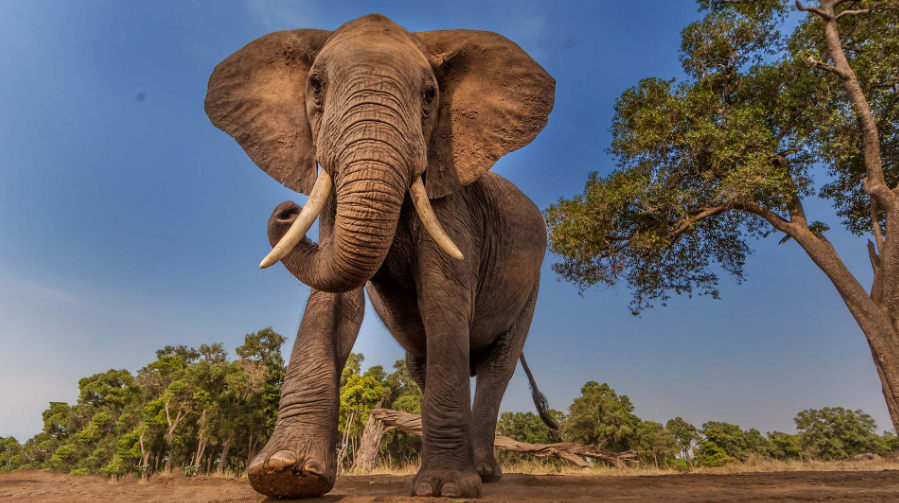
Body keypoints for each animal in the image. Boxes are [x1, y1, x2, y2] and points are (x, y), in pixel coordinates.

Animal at [206, 12, 556, 500]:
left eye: (429, 96)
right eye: (316, 86)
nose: (286, 210)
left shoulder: (453, 203)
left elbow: (443, 299)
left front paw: (446, 487)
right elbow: (334, 300)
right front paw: (284, 473)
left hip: (533, 286)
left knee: (497, 365)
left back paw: (483, 473)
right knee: (422, 362)